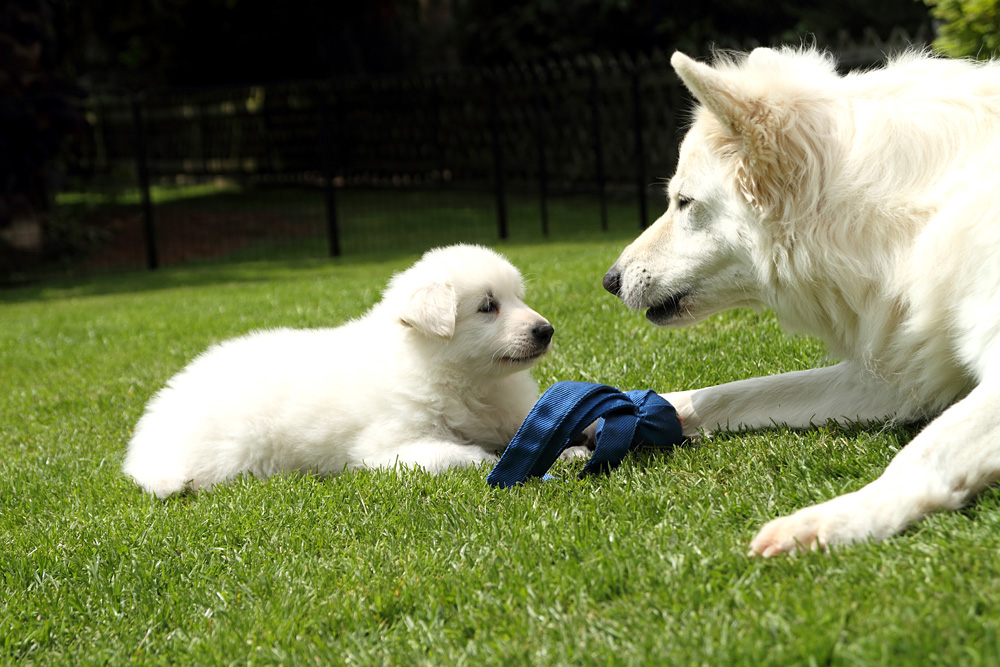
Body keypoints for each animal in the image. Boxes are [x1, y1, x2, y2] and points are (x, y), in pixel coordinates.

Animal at [123, 244, 554, 498]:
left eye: (518, 298)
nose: (546, 330)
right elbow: (468, 456)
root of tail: (144, 444)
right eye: (487, 306)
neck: (469, 382)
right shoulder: (391, 448)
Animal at [603, 47, 1000, 555]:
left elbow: (927, 449)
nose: (610, 281)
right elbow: (726, 394)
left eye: (684, 202)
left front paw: (834, 520)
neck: (906, 222)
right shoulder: (898, 376)